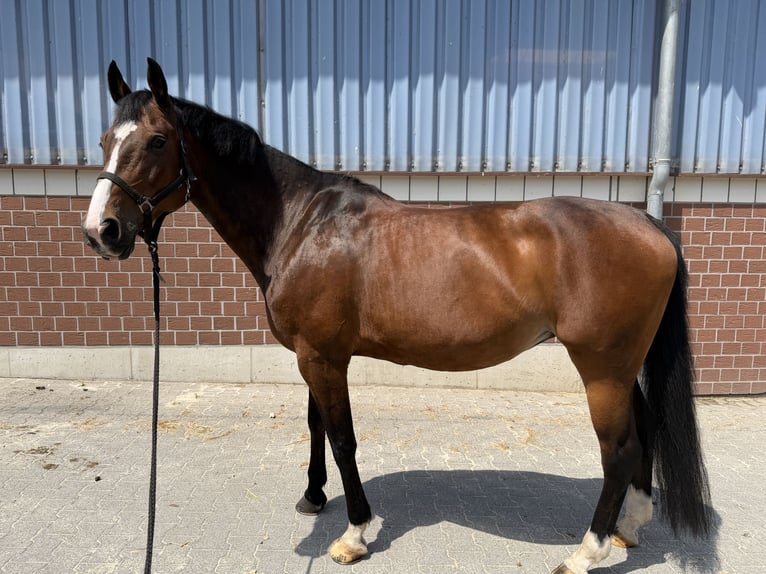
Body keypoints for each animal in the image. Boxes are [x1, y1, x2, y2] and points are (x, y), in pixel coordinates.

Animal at [82, 59, 711, 574]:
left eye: (157, 141)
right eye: (106, 139)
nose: (101, 233)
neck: (301, 223)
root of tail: (649, 223)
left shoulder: (323, 358)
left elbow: (343, 439)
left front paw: (354, 534)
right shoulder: (315, 355)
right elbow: (316, 426)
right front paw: (314, 497)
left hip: (601, 368)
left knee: (618, 450)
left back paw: (586, 552)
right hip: (620, 367)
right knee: (644, 432)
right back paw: (630, 527)